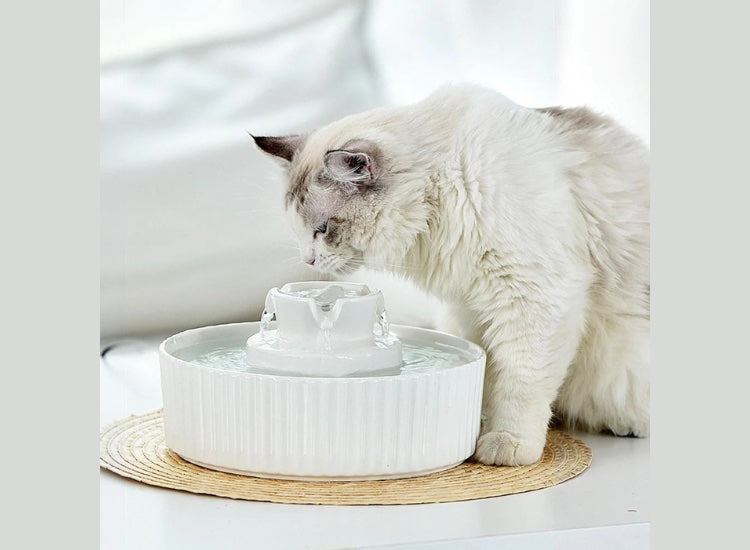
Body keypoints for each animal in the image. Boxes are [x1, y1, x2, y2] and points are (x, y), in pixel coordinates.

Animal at [254, 84, 652, 468]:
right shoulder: (469, 307)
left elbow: (519, 383)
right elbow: (489, 375)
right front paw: (480, 425)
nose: (308, 261)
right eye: (298, 231)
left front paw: (505, 443)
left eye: (321, 229)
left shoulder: (534, 298)